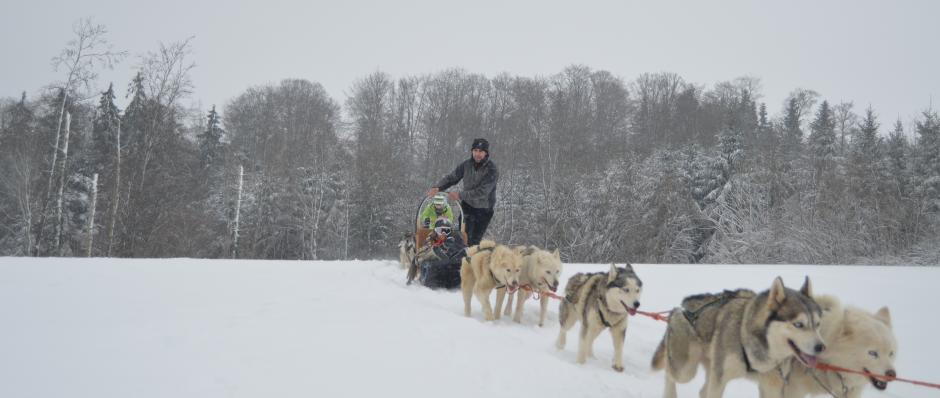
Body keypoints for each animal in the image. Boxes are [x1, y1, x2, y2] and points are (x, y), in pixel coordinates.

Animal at [648, 276, 828, 398]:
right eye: (798, 324)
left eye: (818, 324)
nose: (821, 347)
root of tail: (684, 306)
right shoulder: (719, 381)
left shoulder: (772, 386)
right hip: (685, 369)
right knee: (670, 372)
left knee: (701, 390)